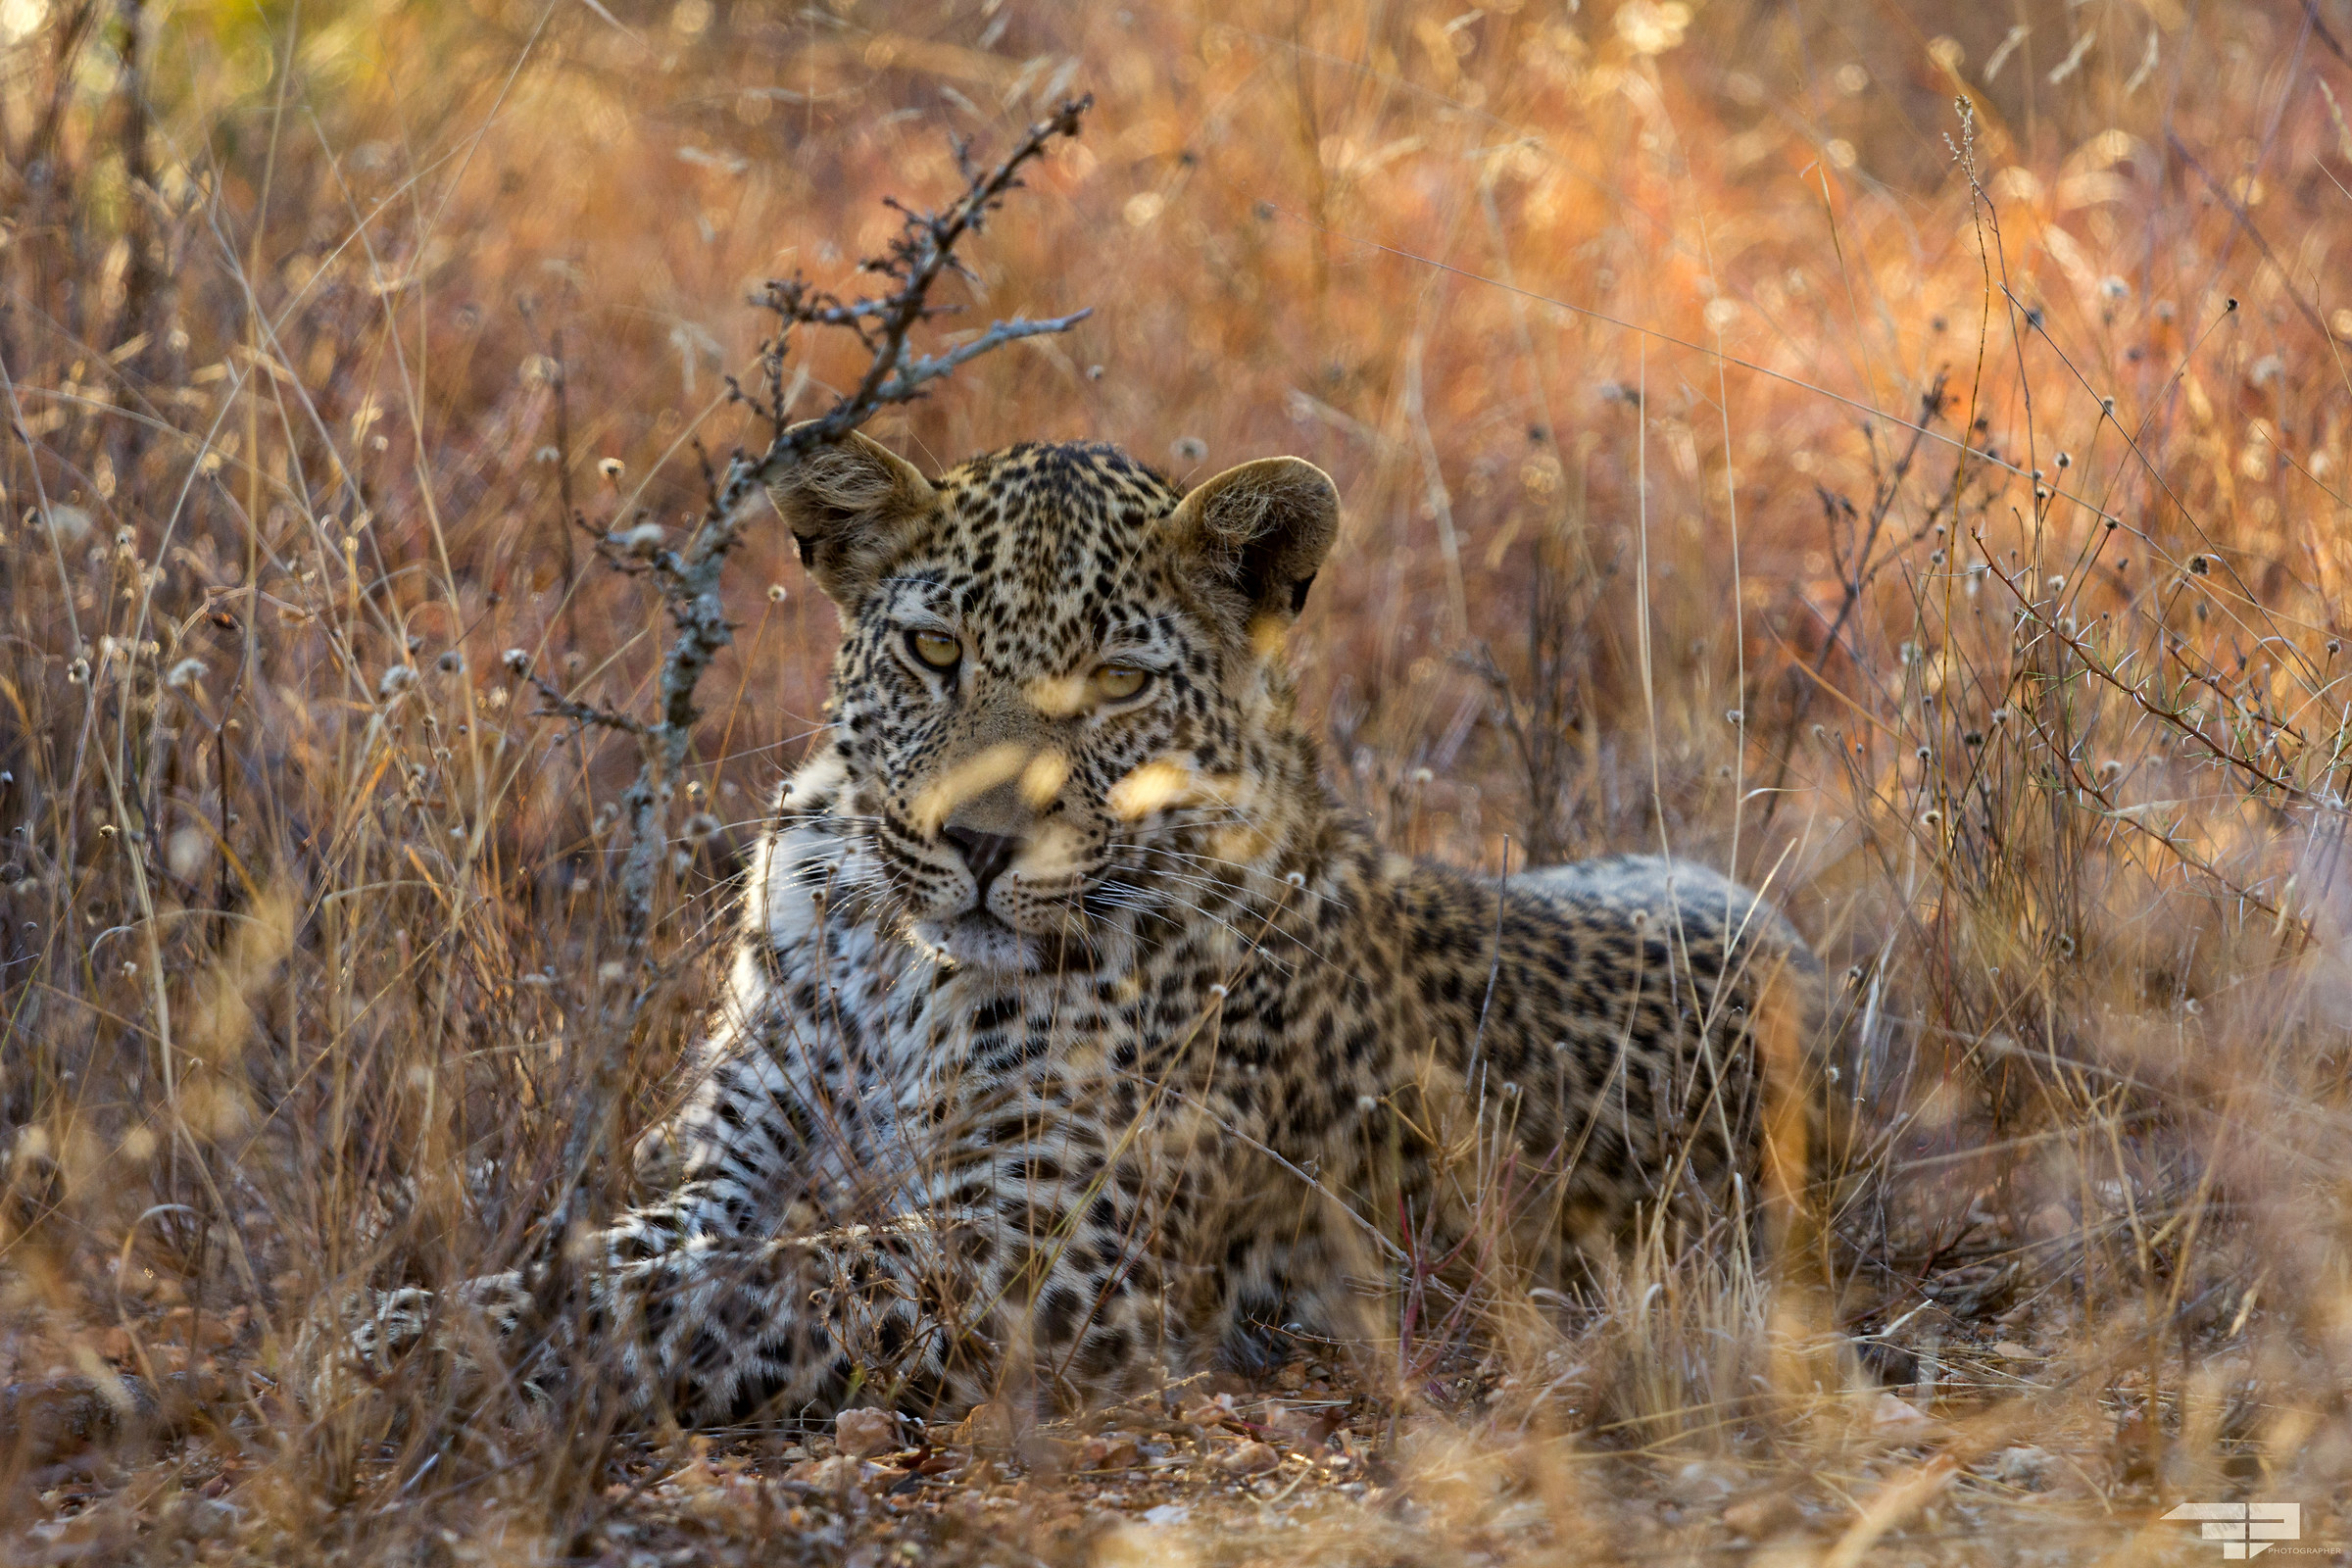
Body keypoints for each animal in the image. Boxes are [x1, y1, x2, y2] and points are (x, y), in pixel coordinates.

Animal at [325, 430, 1829, 1430]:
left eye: (1115, 684)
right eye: (935, 652)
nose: (984, 843)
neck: (900, 967)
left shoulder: (1036, 1250)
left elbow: (753, 1292)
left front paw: (417, 1345)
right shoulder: (736, 1166)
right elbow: (640, 1248)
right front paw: (429, 1289)